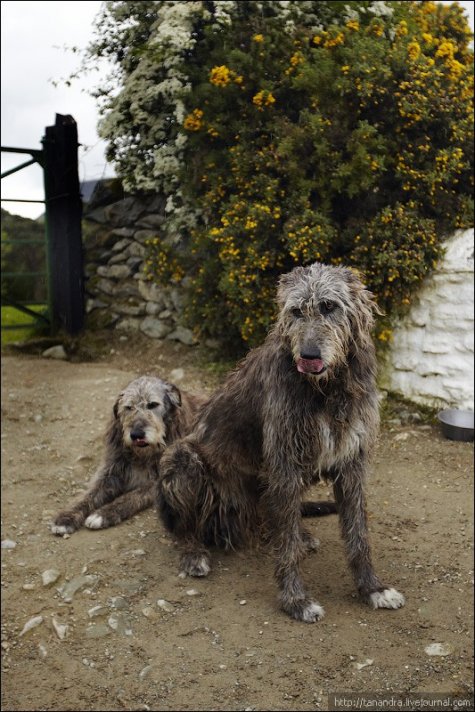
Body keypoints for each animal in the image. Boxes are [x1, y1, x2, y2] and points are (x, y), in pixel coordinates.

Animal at [51, 378, 205, 536]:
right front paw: (66, 517)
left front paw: (103, 514)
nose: (136, 434)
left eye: (153, 404)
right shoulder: (110, 471)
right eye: (128, 407)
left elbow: (132, 496)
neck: (142, 454)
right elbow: (89, 494)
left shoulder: (160, 479)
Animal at [159, 262, 406, 624]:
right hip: (182, 459)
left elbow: (358, 534)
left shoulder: (351, 463)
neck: (325, 389)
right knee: (188, 526)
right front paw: (295, 600)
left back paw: (300, 534)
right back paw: (194, 553)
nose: (309, 356)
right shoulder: (286, 463)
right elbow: (286, 548)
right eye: (296, 311)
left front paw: (372, 589)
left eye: (329, 306)